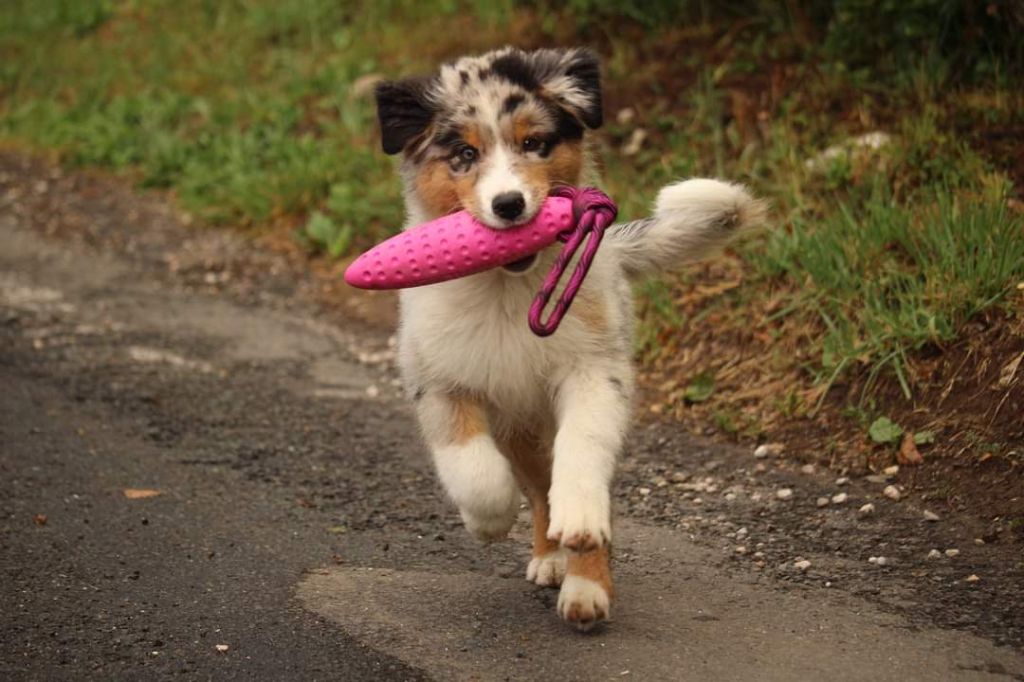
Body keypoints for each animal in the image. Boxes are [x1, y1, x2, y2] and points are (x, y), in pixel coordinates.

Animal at [373, 46, 764, 630]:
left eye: (535, 143)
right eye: (465, 154)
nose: (509, 204)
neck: (509, 291)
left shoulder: (594, 369)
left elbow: (583, 451)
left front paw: (580, 527)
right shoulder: (437, 379)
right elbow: (472, 465)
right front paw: (490, 519)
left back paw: (583, 585)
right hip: (516, 424)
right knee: (536, 487)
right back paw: (549, 556)